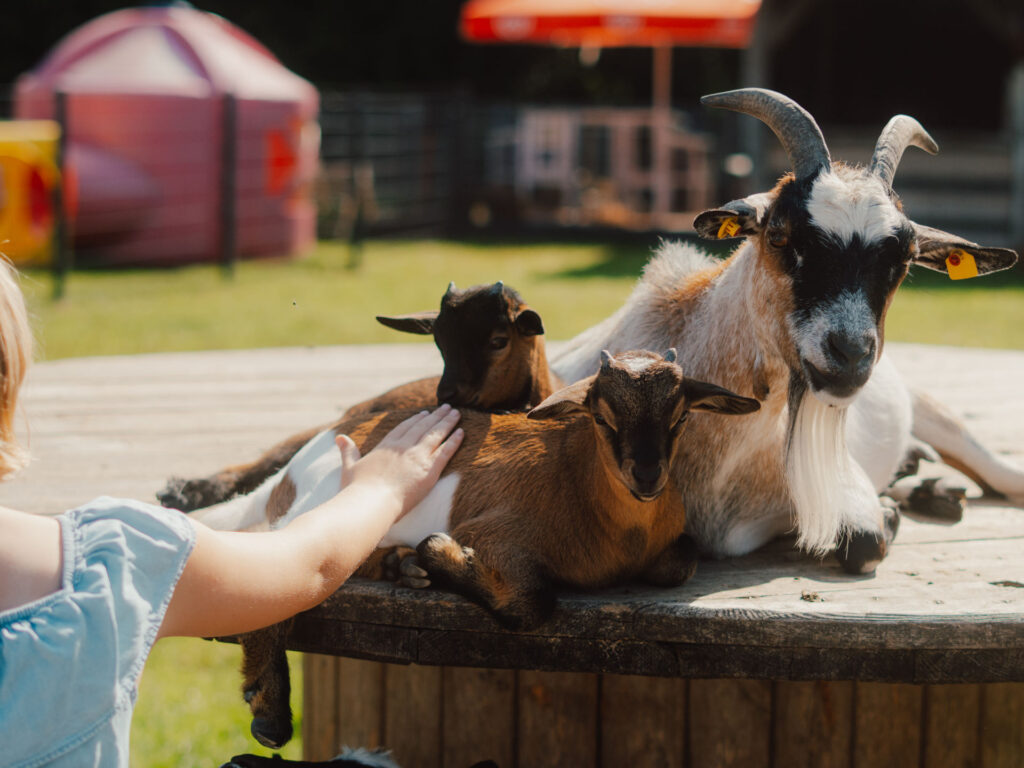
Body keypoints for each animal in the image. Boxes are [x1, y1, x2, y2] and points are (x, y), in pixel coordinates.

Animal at [206, 349, 759, 747]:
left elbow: (681, 562)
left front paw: (423, 561)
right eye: (602, 418)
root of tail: (300, 463)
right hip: (324, 498)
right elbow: (533, 601)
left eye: (680, 417)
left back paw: (401, 566)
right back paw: (270, 710)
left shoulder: (668, 545)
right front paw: (440, 553)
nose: (646, 475)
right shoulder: (497, 533)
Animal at [553, 88, 1020, 574]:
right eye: (778, 235)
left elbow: (864, 542)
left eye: (907, 256)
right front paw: (896, 505)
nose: (850, 354)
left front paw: (890, 512)